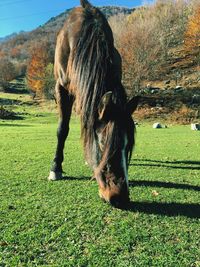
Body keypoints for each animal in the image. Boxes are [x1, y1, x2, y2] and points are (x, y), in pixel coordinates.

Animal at [48, 0, 139, 208]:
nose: (119, 197)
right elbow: (62, 129)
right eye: (103, 141)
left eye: (129, 145)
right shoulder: (62, 88)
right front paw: (56, 168)